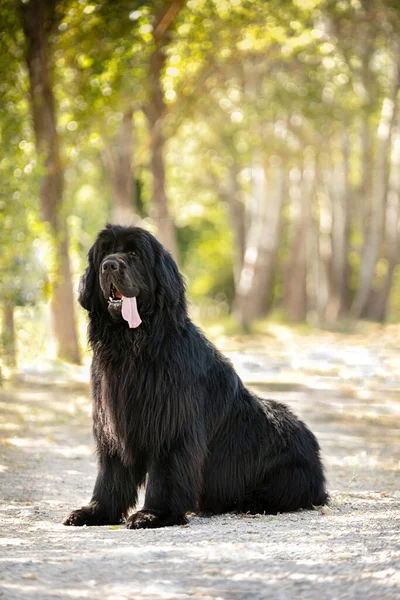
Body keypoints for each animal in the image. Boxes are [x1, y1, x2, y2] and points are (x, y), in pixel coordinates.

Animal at [63, 225, 328, 528]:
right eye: (105, 252)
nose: (109, 265)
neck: (135, 347)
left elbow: (166, 473)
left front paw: (154, 514)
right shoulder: (113, 427)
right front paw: (97, 511)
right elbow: (111, 474)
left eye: (134, 254)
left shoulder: (172, 426)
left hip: (287, 475)